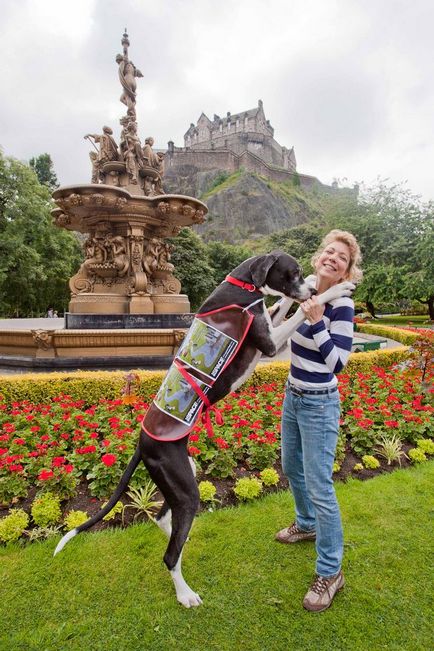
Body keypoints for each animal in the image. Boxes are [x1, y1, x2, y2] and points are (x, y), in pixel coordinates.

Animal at [54, 252, 354, 608]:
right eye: (290, 272)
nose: (310, 288)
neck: (241, 285)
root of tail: (142, 442)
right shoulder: (269, 343)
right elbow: (296, 311)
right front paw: (334, 291)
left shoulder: (266, 315)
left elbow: (280, 303)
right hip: (186, 489)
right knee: (169, 555)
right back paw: (185, 594)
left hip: (184, 473)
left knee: (163, 520)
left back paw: (178, 541)